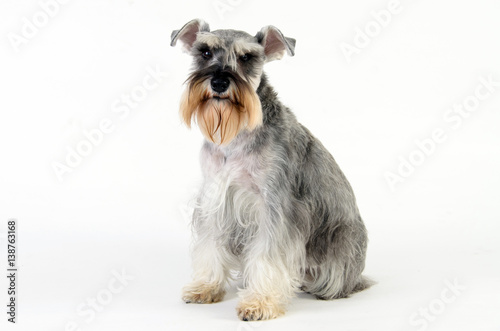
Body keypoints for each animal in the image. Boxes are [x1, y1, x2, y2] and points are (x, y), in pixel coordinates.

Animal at [170, 18, 370, 322]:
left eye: (246, 57)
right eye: (205, 52)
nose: (219, 81)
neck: (237, 136)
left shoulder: (275, 207)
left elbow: (268, 254)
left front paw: (259, 302)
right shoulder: (215, 199)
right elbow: (210, 244)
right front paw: (206, 287)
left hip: (341, 242)